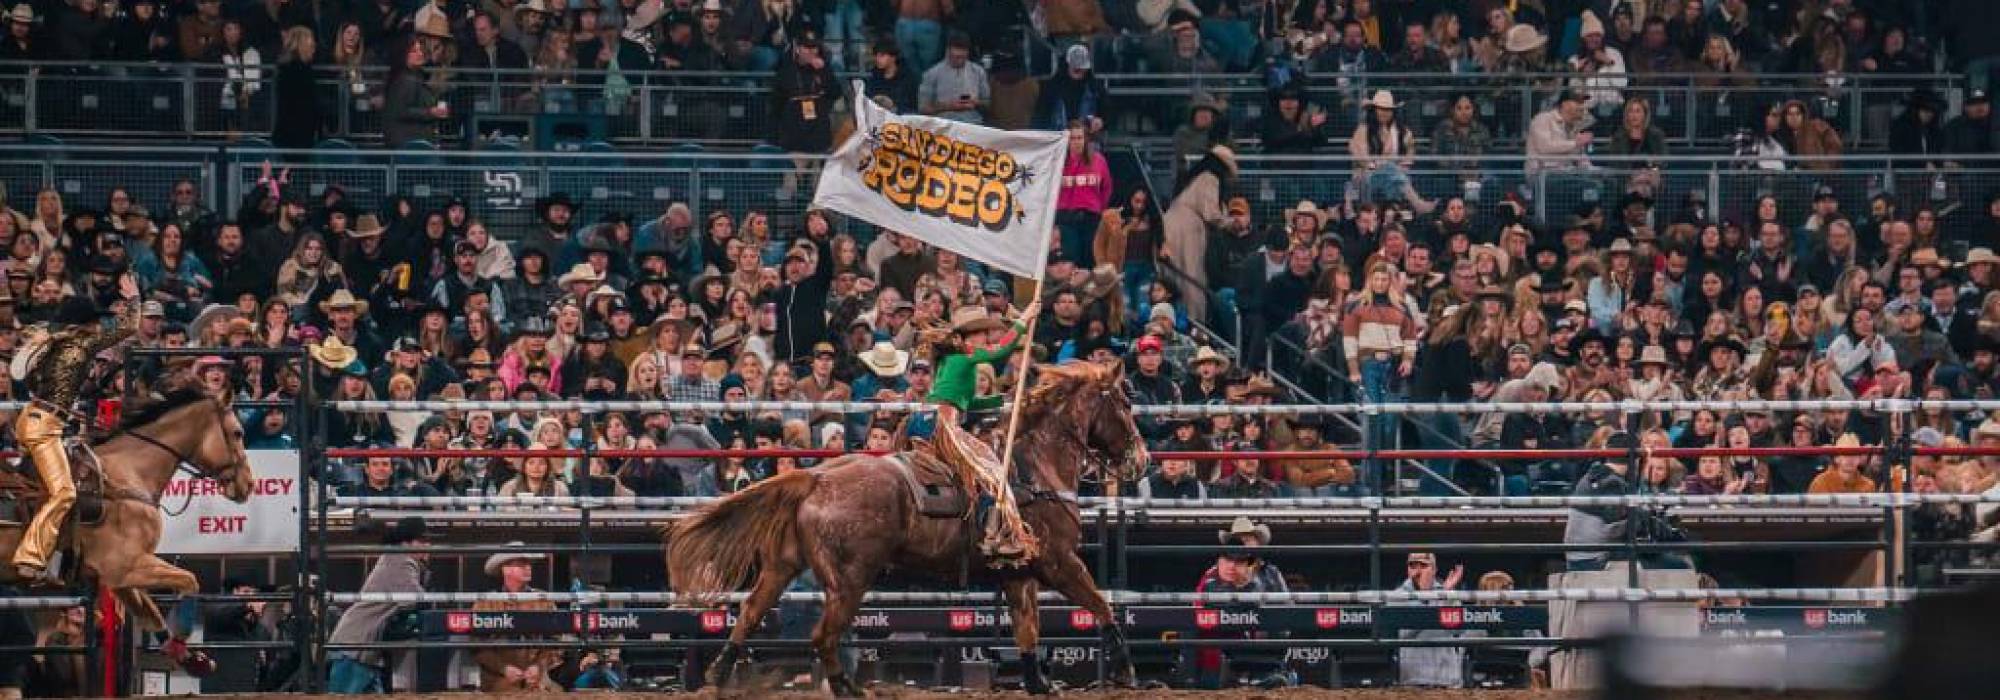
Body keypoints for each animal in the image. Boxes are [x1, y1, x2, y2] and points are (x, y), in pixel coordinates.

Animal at [0, 392, 254, 632]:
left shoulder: (121, 582)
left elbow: (154, 619)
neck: (128, 475)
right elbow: (190, 581)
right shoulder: (124, 567)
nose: (249, 484)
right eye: (238, 433)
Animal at [668, 360, 1152, 696]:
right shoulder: (1060, 563)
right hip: (850, 580)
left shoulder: (1019, 574)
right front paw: (1126, 669)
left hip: (783, 566)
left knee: (752, 612)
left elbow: (1027, 628)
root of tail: (817, 479)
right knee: (824, 635)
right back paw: (847, 687)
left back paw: (718, 674)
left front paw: (1038, 683)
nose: (1141, 459)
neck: (1037, 468)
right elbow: (1101, 605)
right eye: (1126, 404)